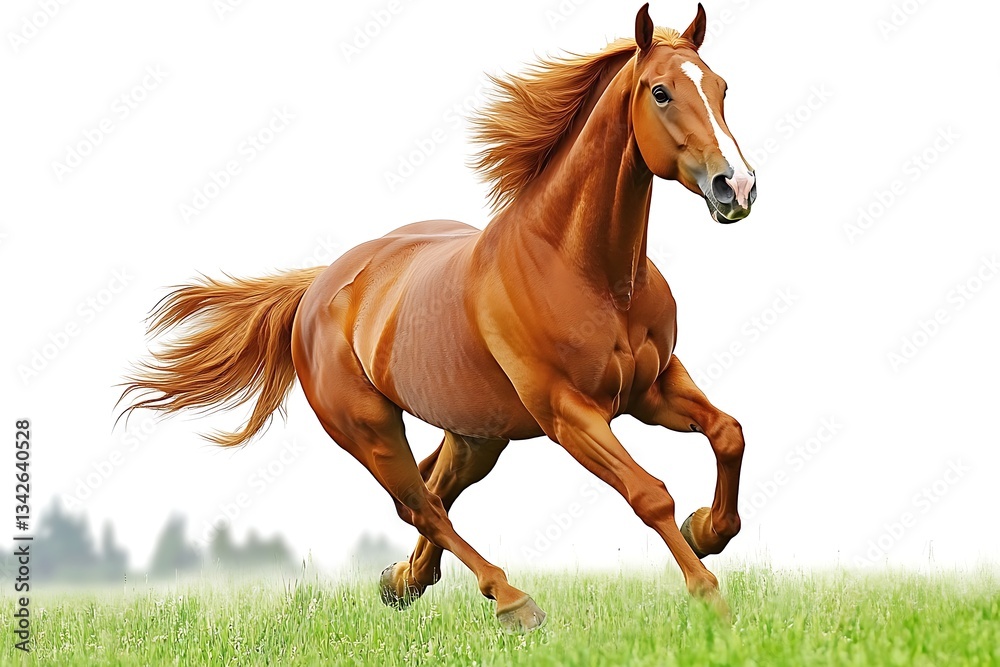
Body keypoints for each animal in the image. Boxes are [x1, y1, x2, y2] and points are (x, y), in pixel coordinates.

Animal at [122, 3, 756, 632]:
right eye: (661, 92)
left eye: (722, 87)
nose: (737, 186)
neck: (589, 274)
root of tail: (317, 288)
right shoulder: (569, 413)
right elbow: (649, 493)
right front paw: (710, 597)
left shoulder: (653, 386)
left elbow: (729, 433)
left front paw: (707, 530)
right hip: (370, 429)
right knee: (420, 504)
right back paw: (509, 599)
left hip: (476, 434)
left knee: (435, 488)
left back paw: (405, 580)